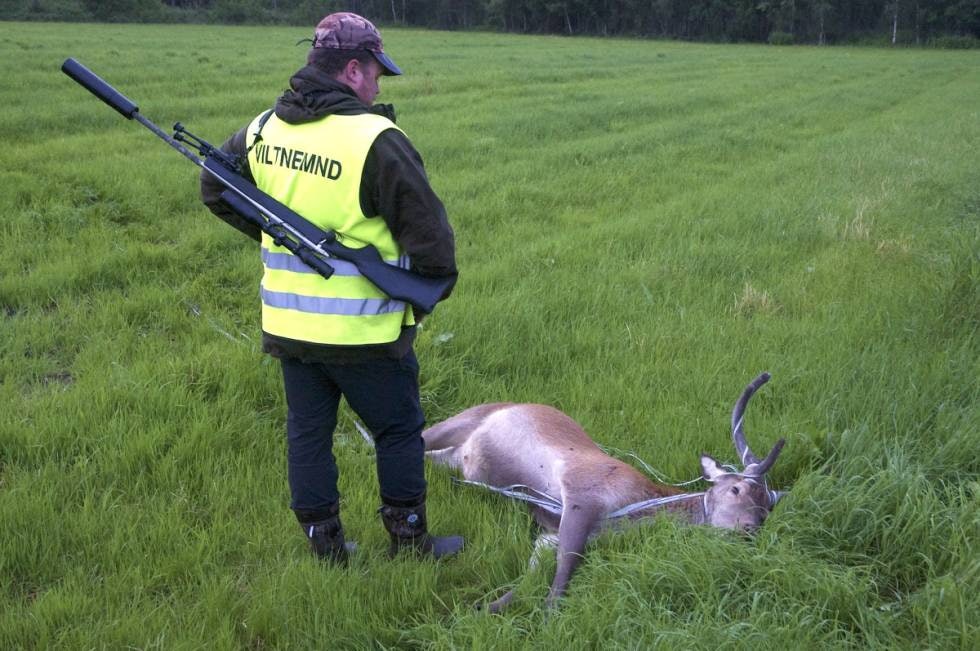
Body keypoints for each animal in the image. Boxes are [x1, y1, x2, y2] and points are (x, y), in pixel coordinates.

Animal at [424, 372, 788, 612]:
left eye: (767, 508)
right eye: (736, 488)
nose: (749, 531)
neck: (631, 509)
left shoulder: (548, 536)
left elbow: (531, 578)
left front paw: (481, 609)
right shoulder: (584, 493)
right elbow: (564, 571)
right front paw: (547, 617)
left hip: (454, 458)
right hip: (458, 422)